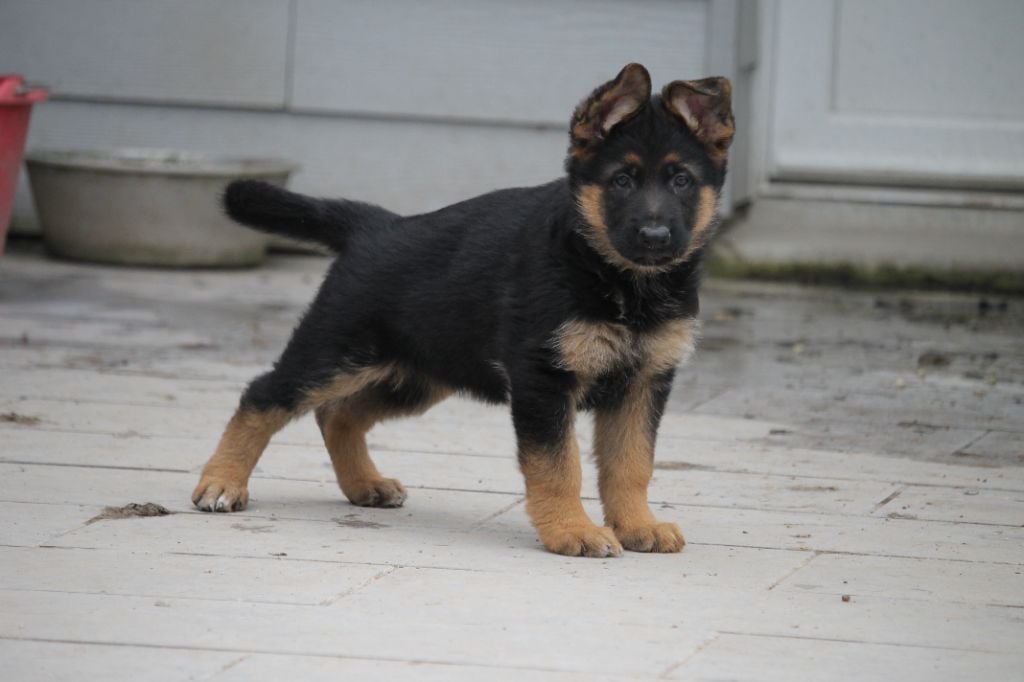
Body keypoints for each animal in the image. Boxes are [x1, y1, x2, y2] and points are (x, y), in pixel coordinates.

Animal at [192, 63, 734, 557]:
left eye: (682, 181)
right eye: (621, 180)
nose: (655, 237)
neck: (617, 278)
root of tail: (377, 225)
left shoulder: (644, 382)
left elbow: (632, 463)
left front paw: (638, 525)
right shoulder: (543, 380)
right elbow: (559, 465)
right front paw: (571, 531)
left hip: (417, 374)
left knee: (337, 414)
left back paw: (364, 485)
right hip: (336, 349)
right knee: (266, 395)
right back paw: (222, 484)